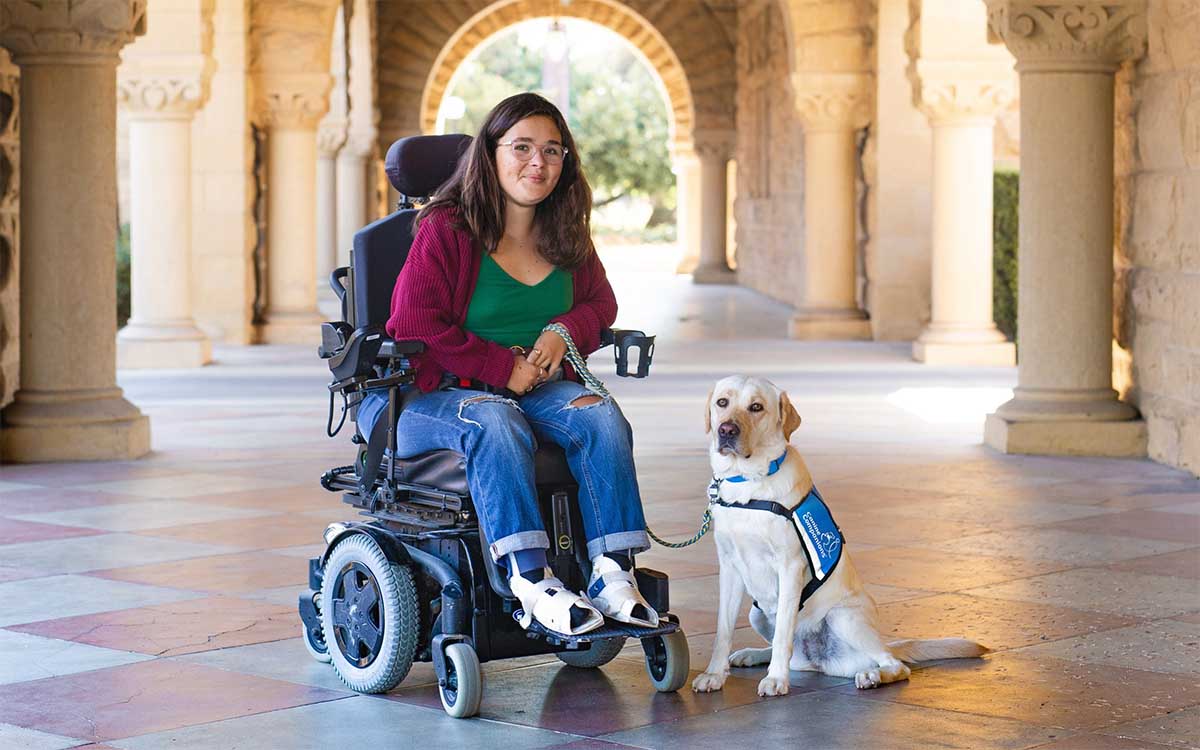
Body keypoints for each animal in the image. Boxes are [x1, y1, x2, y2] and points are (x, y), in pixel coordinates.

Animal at [691, 374, 988, 696]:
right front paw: (714, 674)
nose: (726, 430)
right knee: (790, 650)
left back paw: (872, 675)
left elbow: (783, 632)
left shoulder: (790, 566)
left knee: (895, 665)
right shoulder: (729, 567)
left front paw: (776, 680)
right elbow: (723, 631)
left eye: (756, 407)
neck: (747, 483)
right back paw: (754, 655)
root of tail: (818, 659)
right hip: (756, 614)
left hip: (843, 617)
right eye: (722, 402)